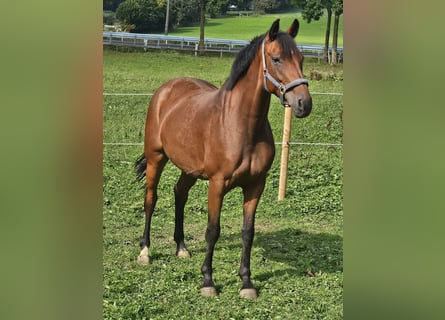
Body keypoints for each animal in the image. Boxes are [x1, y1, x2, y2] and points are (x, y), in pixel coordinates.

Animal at [135, 19, 312, 300]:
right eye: (277, 59)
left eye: (302, 58)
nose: (303, 104)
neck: (240, 126)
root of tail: (166, 89)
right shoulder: (217, 185)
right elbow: (213, 230)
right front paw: (208, 281)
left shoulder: (255, 185)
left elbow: (248, 232)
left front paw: (247, 282)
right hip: (156, 158)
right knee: (151, 199)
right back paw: (145, 251)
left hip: (189, 169)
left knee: (179, 194)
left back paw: (181, 247)